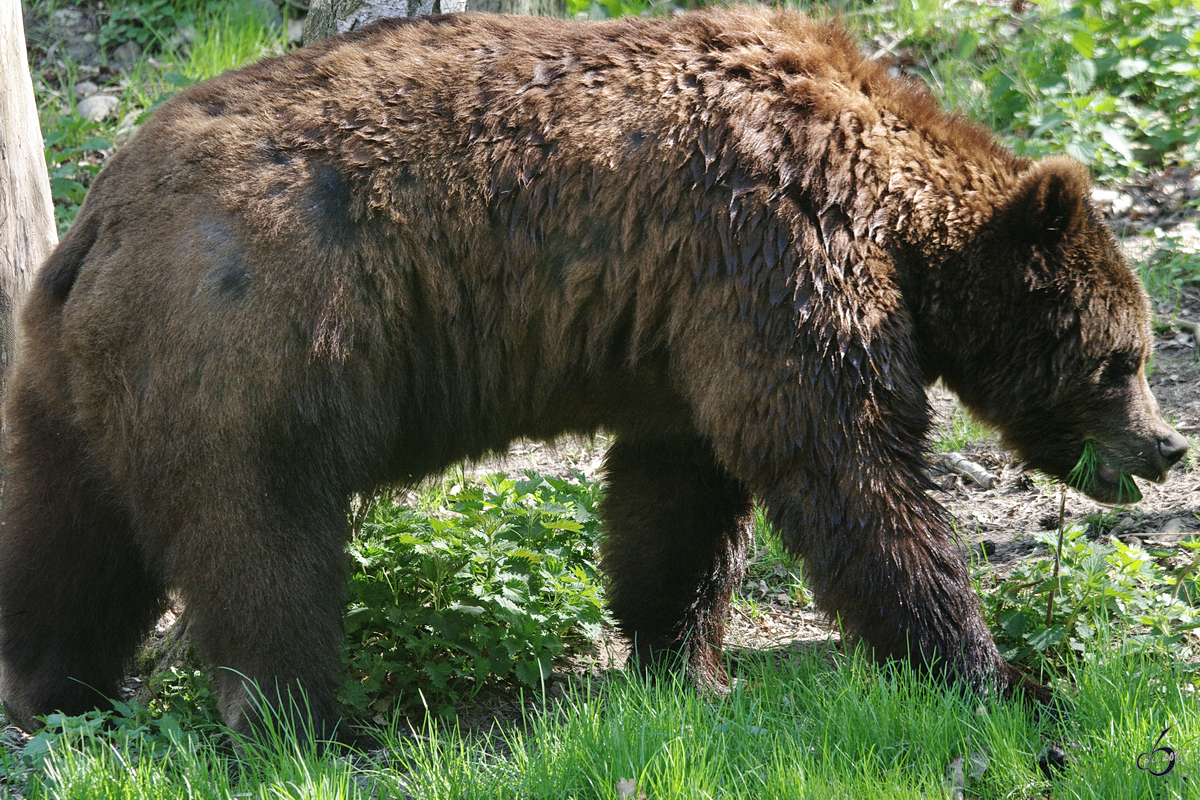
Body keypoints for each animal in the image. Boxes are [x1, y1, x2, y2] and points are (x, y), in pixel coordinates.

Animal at [0, 9, 1190, 743]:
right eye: (1123, 357)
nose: (1167, 444)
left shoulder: (689, 330)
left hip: (76, 381)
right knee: (263, 544)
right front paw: (998, 674)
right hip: (253, 343)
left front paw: (687, 661)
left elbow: (677, 496)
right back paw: (313, 721)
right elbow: (847, 465)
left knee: (72, 546)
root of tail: (102, 216)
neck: (895, 216)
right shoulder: (776, 252)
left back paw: (53, 692)